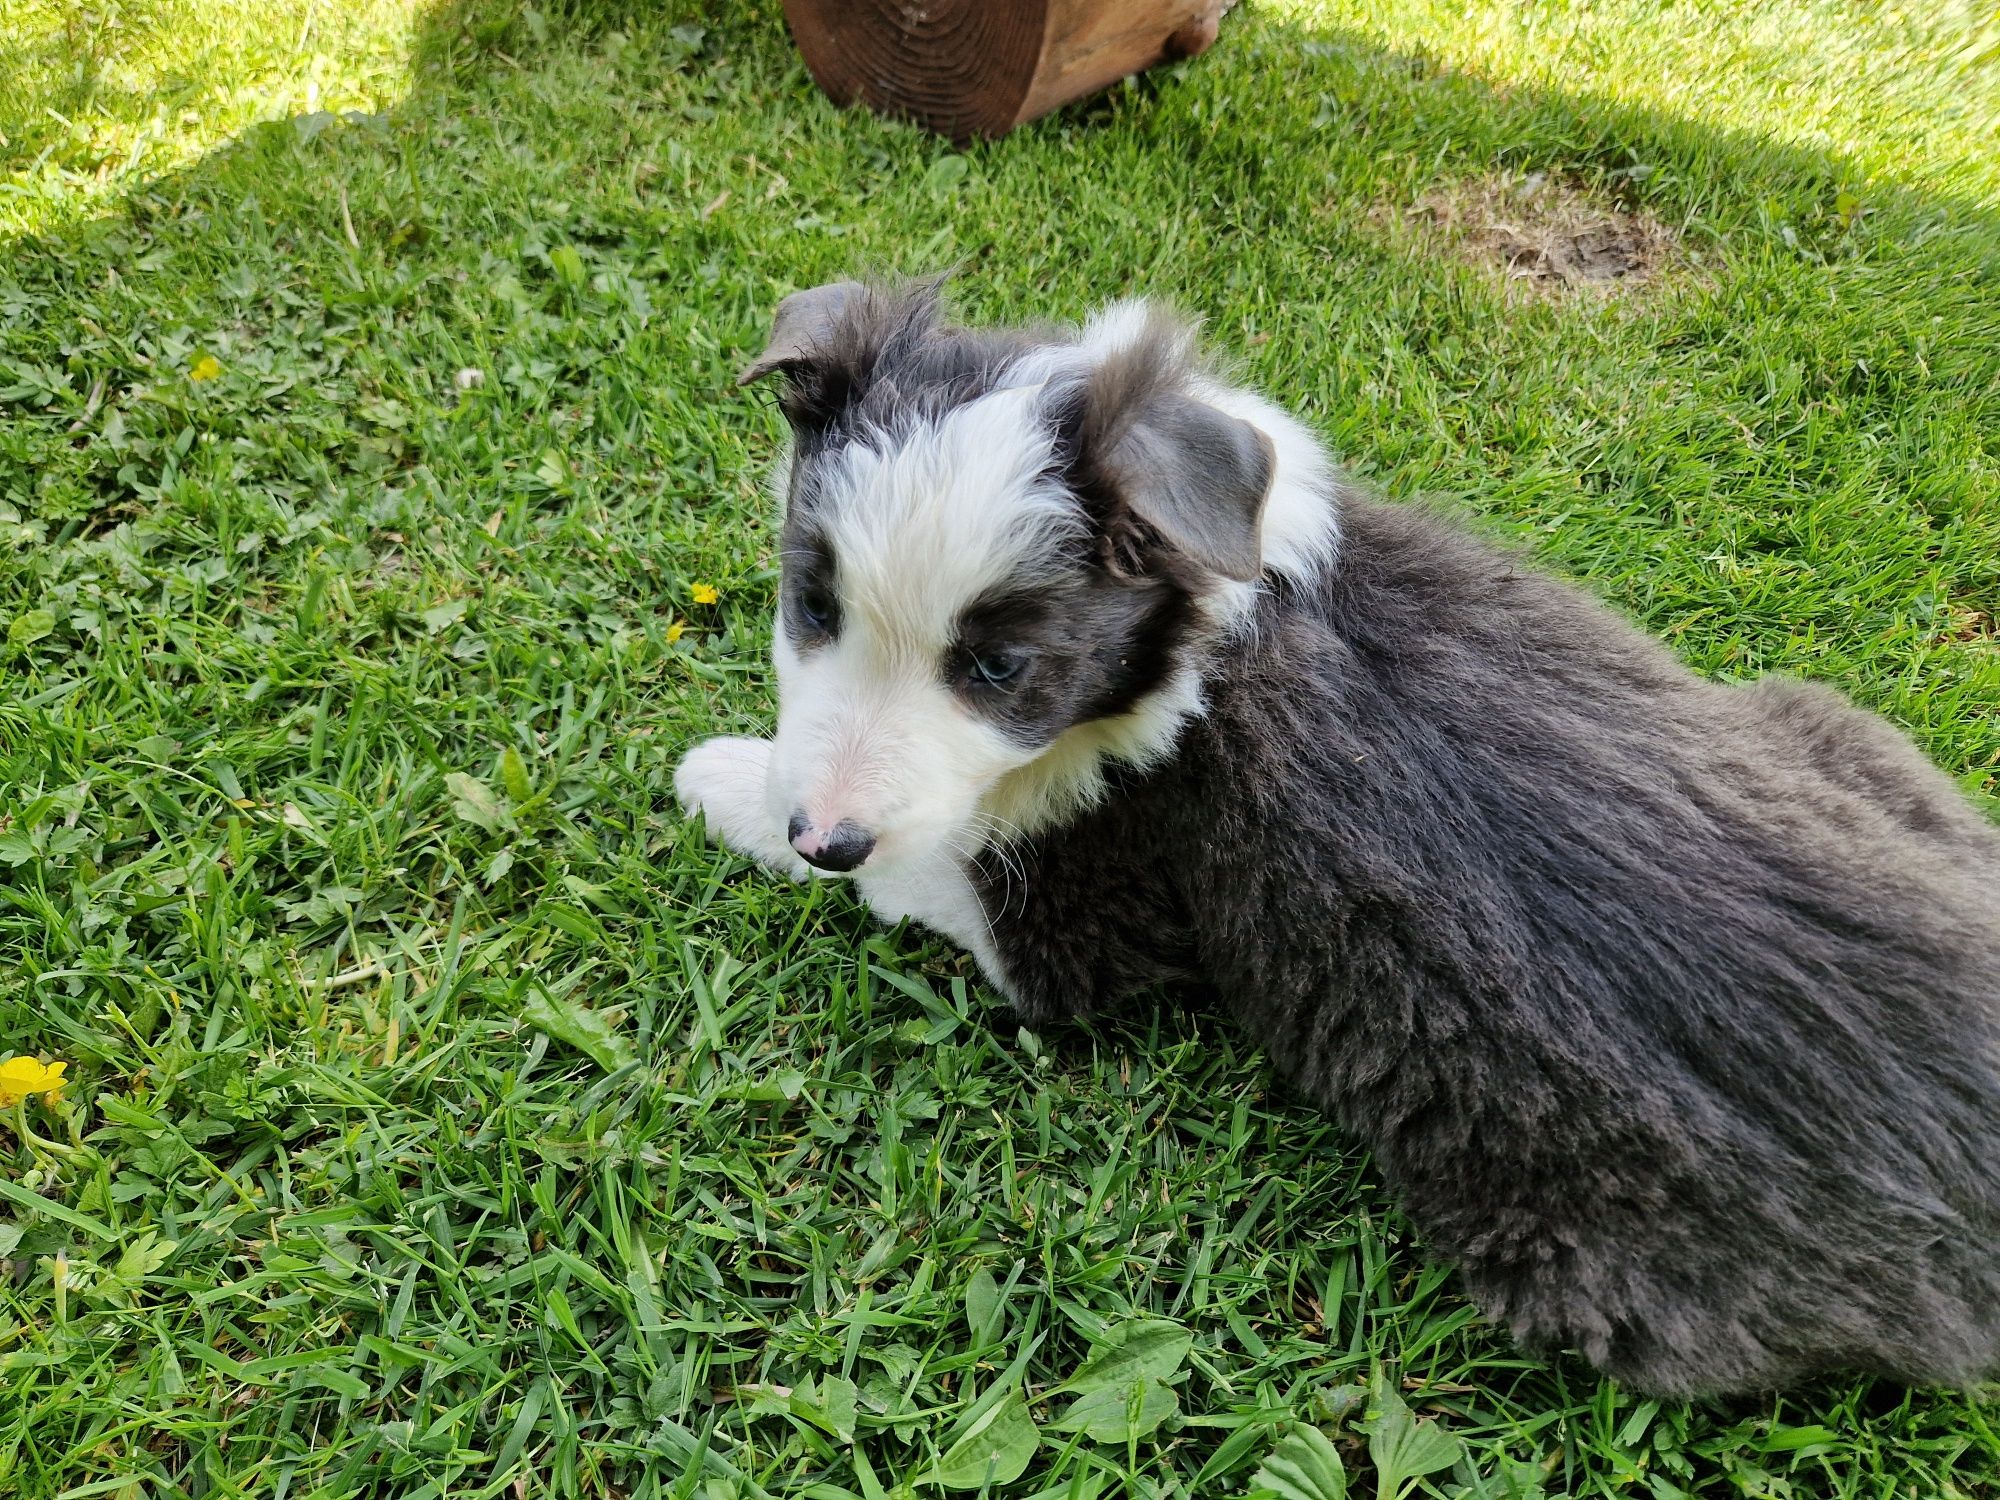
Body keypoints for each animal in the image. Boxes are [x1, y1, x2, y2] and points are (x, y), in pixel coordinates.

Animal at [676, 280, 2000, 1400]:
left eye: (999, 669)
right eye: (813, 605)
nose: (822, 836)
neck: (1205, 617)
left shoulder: (1084, 917)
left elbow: (930, 866)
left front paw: (719, 778)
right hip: (1843, 732)